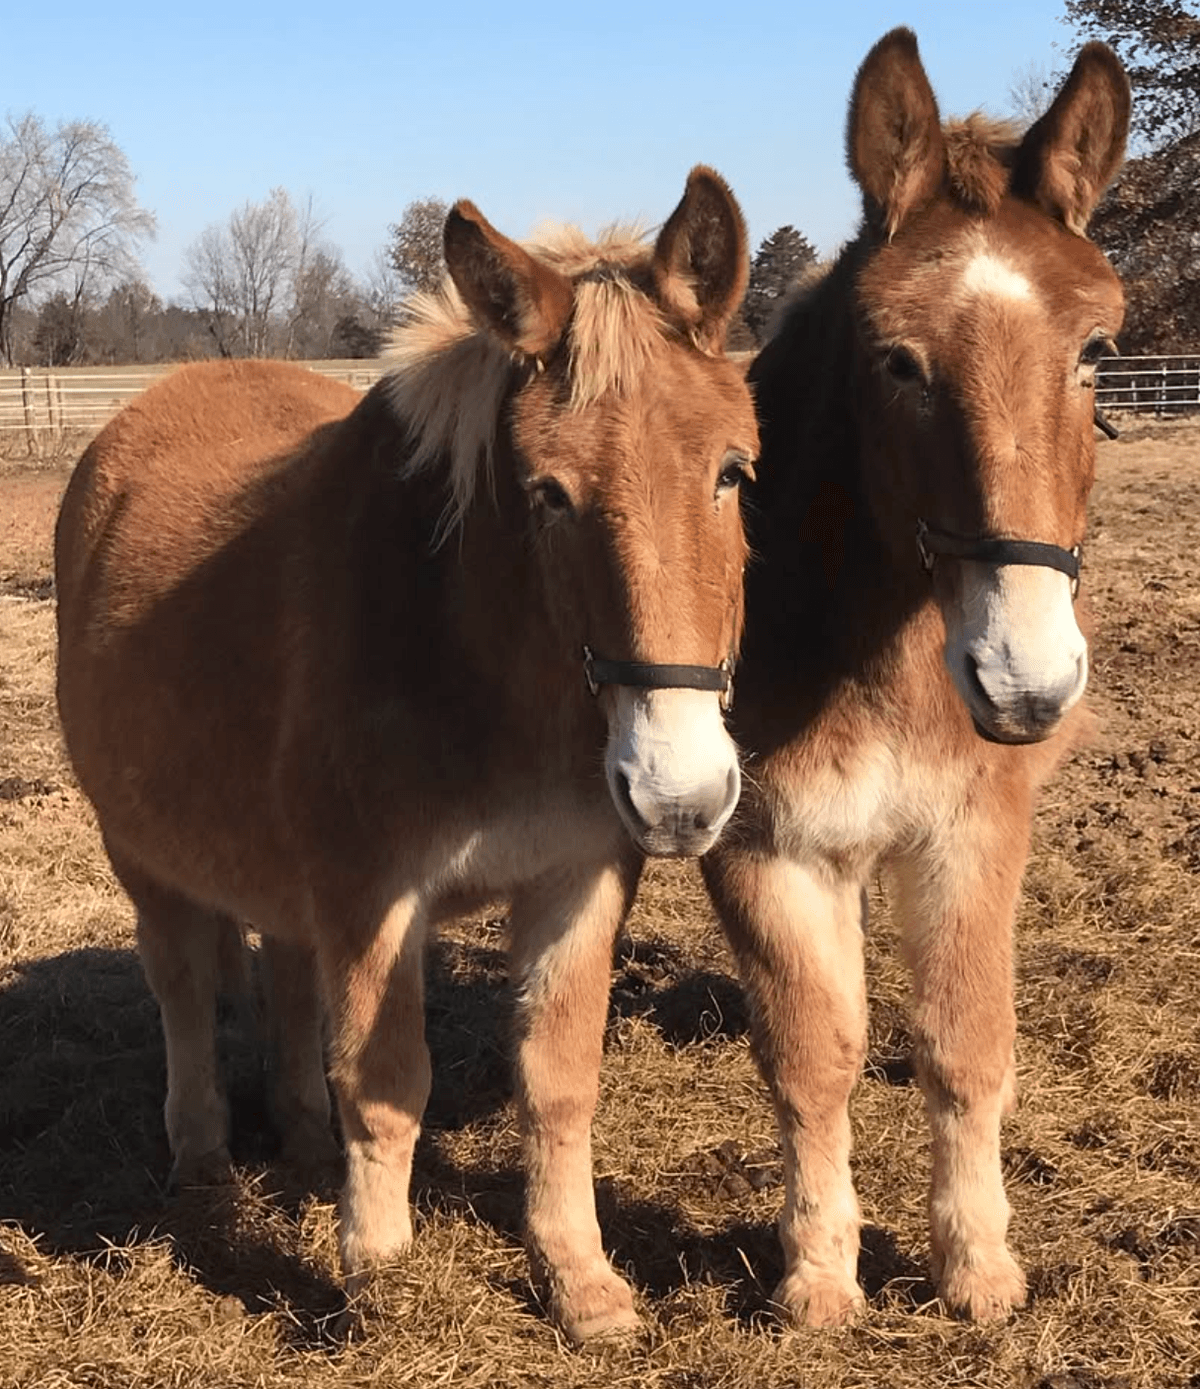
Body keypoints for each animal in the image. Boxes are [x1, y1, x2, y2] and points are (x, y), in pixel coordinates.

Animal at [54, 167, 759, 1344]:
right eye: (546, 493)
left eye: (733, 473)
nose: (678, 795)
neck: (489, 668)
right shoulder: (373, 893)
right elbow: (385, 1079)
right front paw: (378, 1278)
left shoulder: (577, 876)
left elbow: (557, 1077)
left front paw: (582, 1281)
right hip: (142, 853)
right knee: (184, 986)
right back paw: (204, 1162)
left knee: (287, 977)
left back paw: (298, 1141)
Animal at [702, 31, 1130, 1325]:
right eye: (897, 363)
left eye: (1096, 352)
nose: (1025, 682)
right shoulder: (771, 853)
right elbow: (811, 1056)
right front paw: (818, 1272)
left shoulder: (972, 833)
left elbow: (962, 1042)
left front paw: (977, 1264)